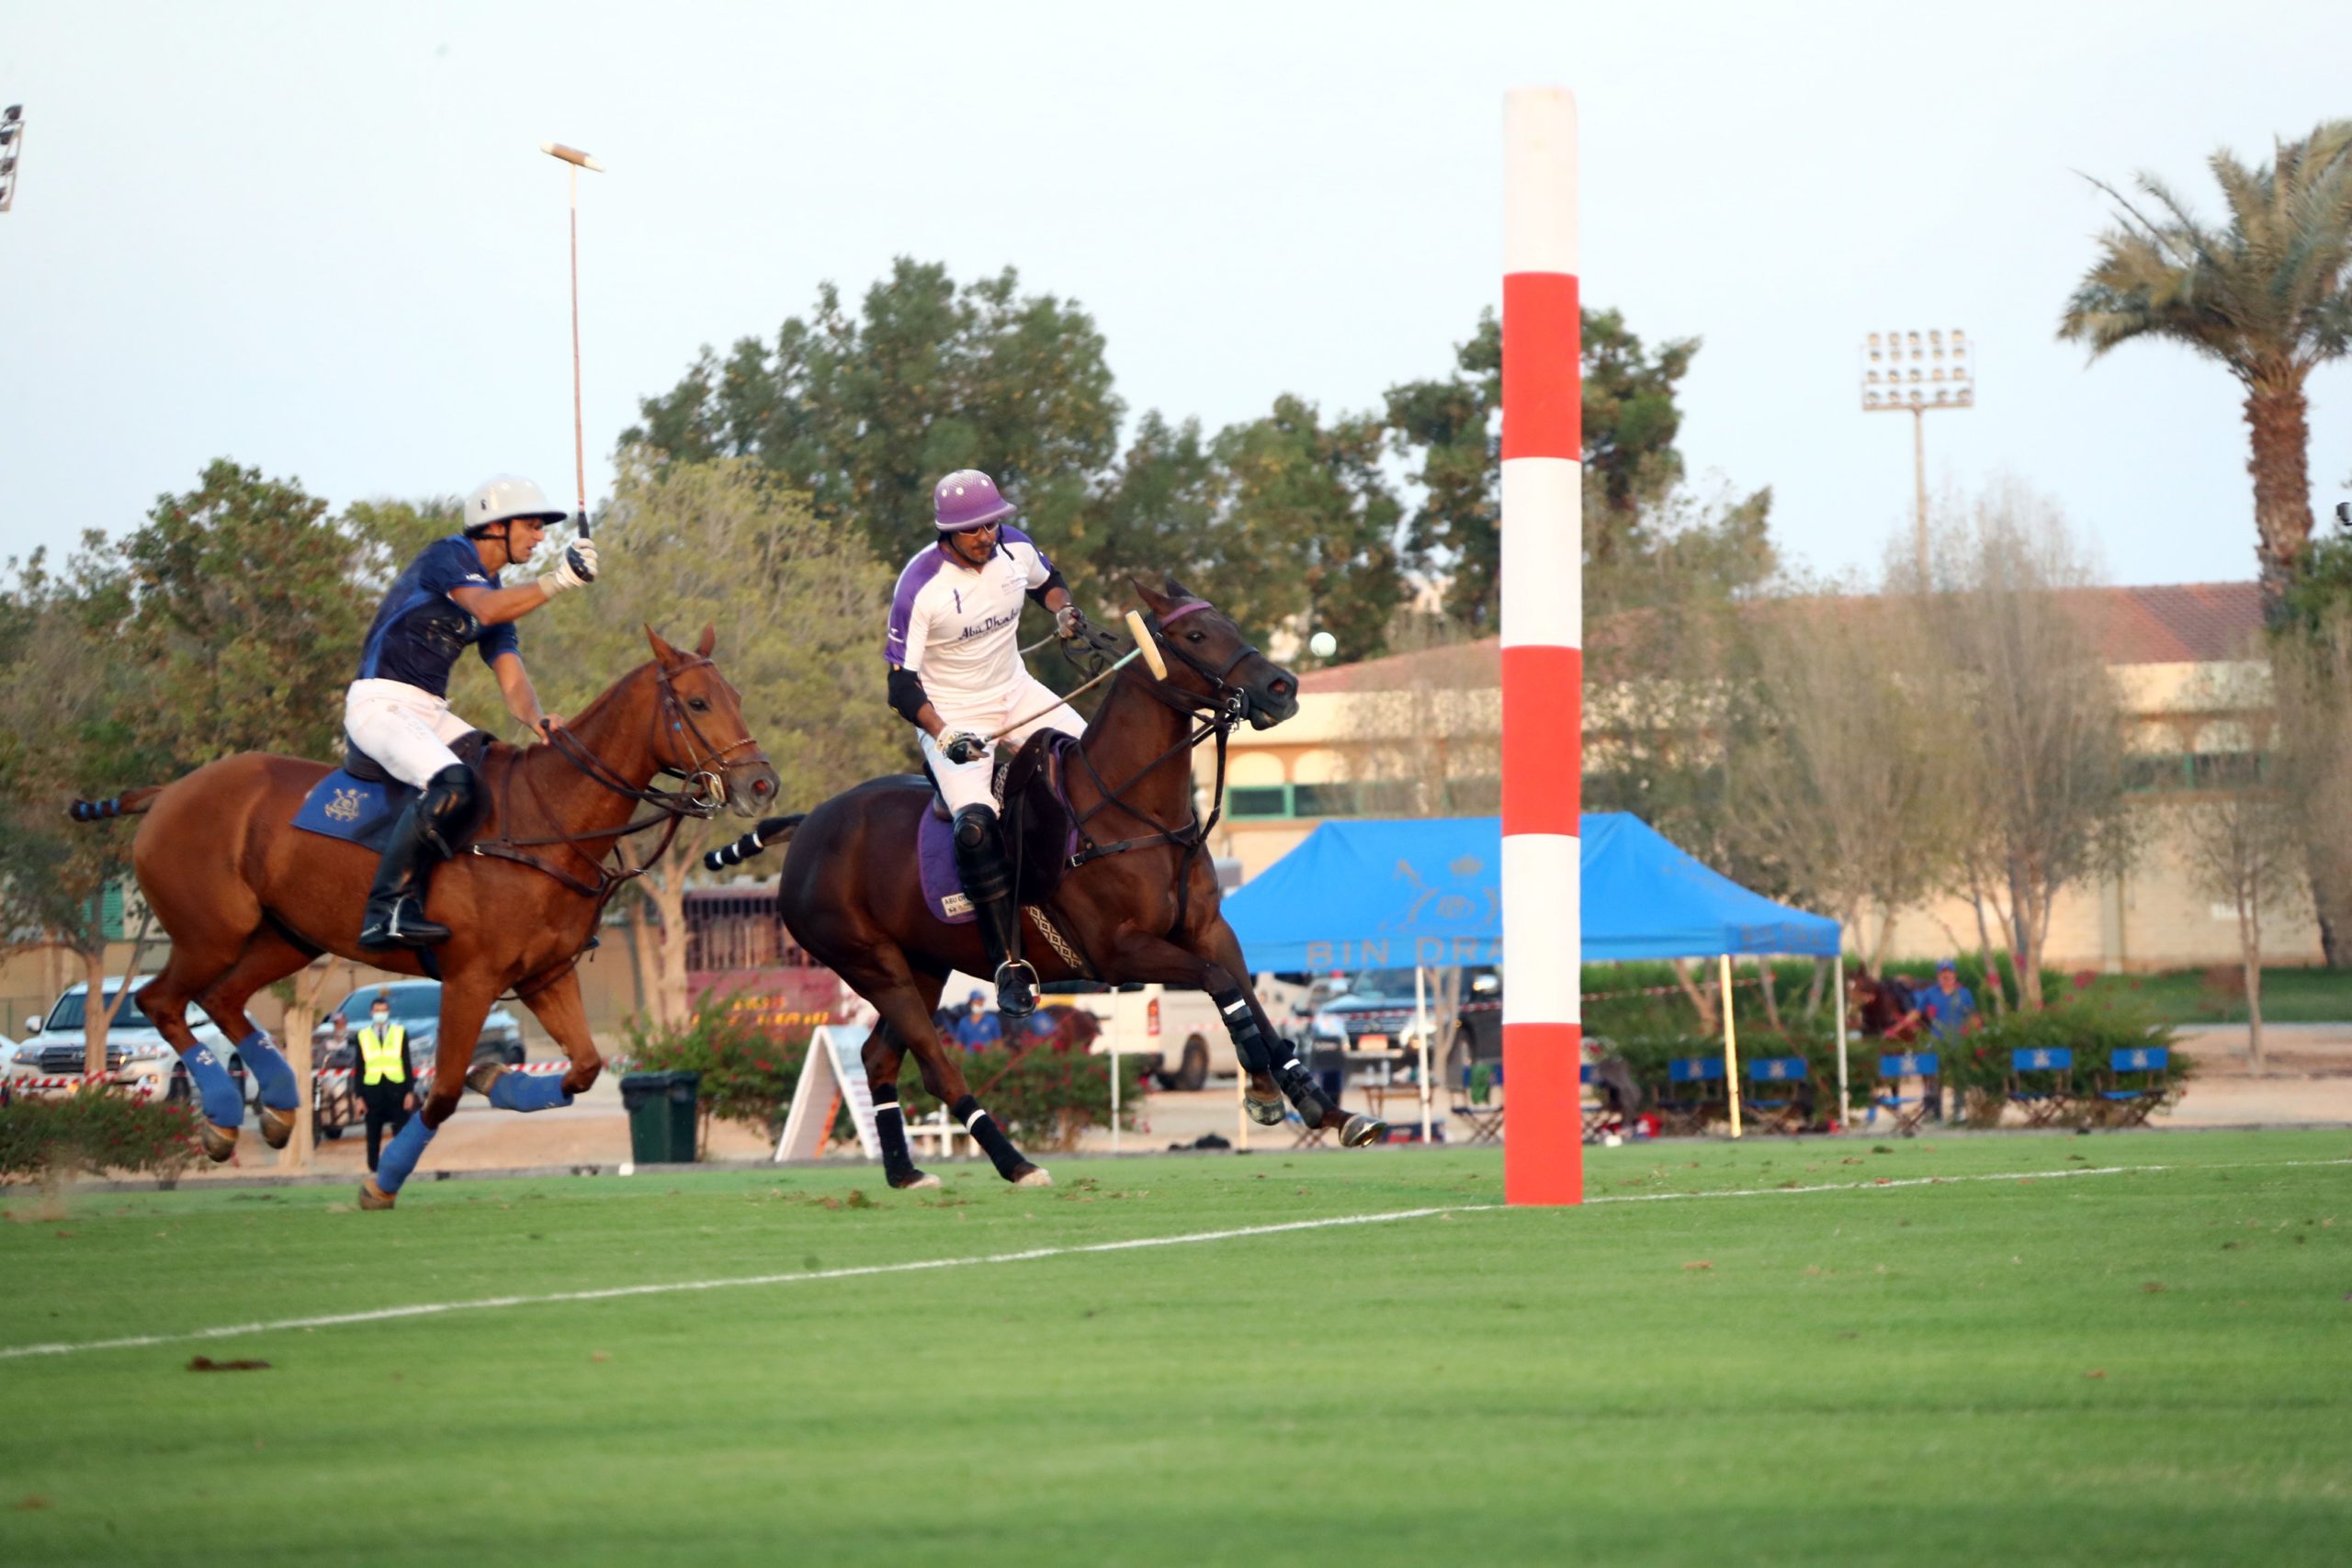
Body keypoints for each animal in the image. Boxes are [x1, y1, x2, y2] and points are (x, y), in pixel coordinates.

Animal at [69, 625, 780, 1207]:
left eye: (738, 695)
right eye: (696, 703)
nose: (762, 785)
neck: (548, 817)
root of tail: (166, 793)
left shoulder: (545, 975)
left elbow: (582, 1067)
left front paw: (497, 1080)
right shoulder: (472, 978)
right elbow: (441, 1093)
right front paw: (382, 1182)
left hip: (287, 936)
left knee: (222, 999)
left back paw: (273, 1108)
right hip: (209, 933)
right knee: (162, 1000)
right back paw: (222, 1116)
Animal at [707, 577, 1386, 1189]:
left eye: (1229, 623)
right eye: (1195, 635)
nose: (1283, 688)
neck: (1133, 811)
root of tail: (810, 824)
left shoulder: (1209, 929)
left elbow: (1250, 998)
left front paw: (1328, 1108)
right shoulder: (1118, 951)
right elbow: (1223, 987)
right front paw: (1266, 1091)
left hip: (922, 965)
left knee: (878, 1056)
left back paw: (904, 1172)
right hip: (870, 963)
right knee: (937, 1065)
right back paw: (1015, 1162)